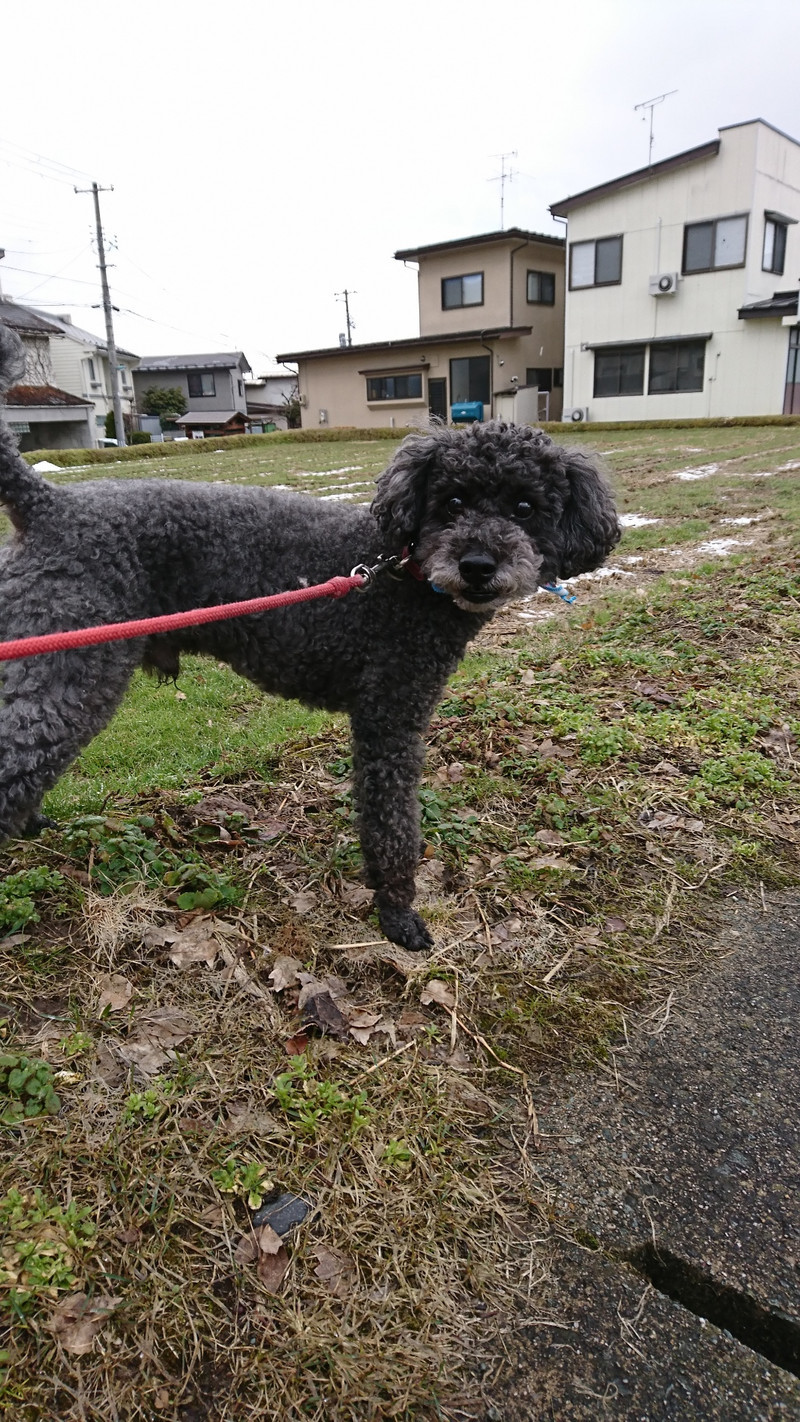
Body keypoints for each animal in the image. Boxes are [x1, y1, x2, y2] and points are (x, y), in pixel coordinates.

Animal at [0, 324, 619, 951]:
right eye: (453, 501)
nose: (476, 566)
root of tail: (50, 502)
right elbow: (392, 821)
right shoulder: (388, 713)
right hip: (69, 656)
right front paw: (397, 913)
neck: (405, 571)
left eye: (525, 507)